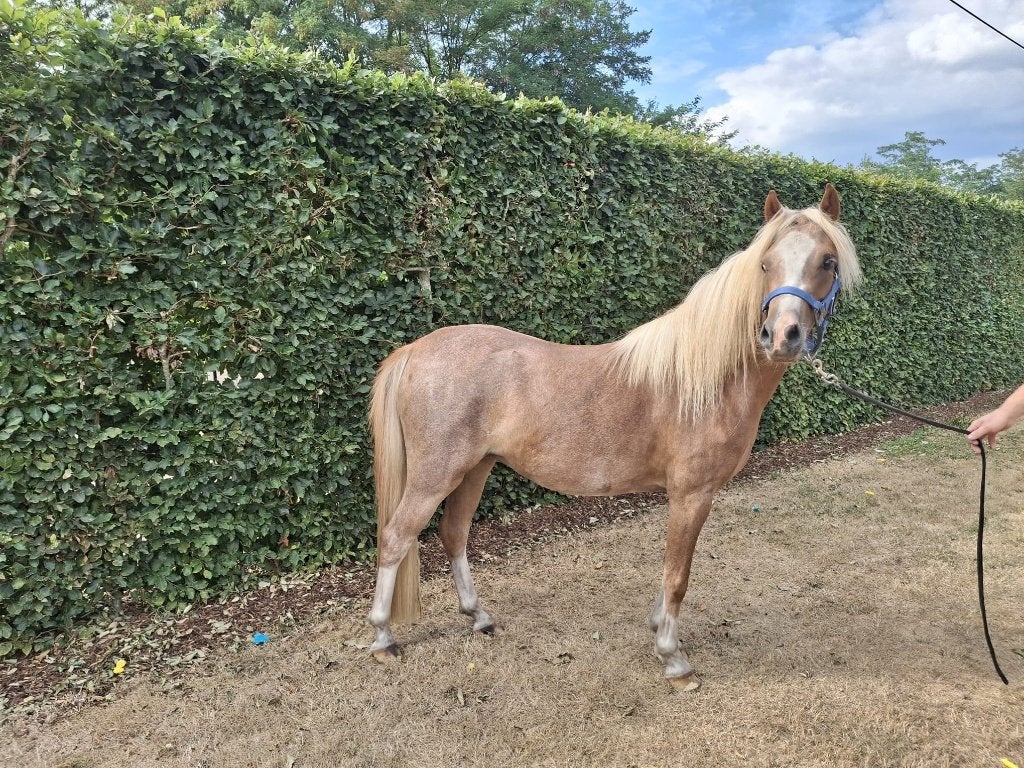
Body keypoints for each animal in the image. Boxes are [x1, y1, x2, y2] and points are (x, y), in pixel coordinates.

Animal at [367, 184, 861, 690]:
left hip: (475, 469)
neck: (706, 379)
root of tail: (414, 350)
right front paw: (673, 659)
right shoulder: (692, 495)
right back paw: (384, 639)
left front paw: (658, 627)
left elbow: (670, 571)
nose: (782, 336)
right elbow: (678, 575)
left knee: (454, 534)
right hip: (436, 474)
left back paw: (479, 617)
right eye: (765, 263)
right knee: (396, 537)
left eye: (827, 261)